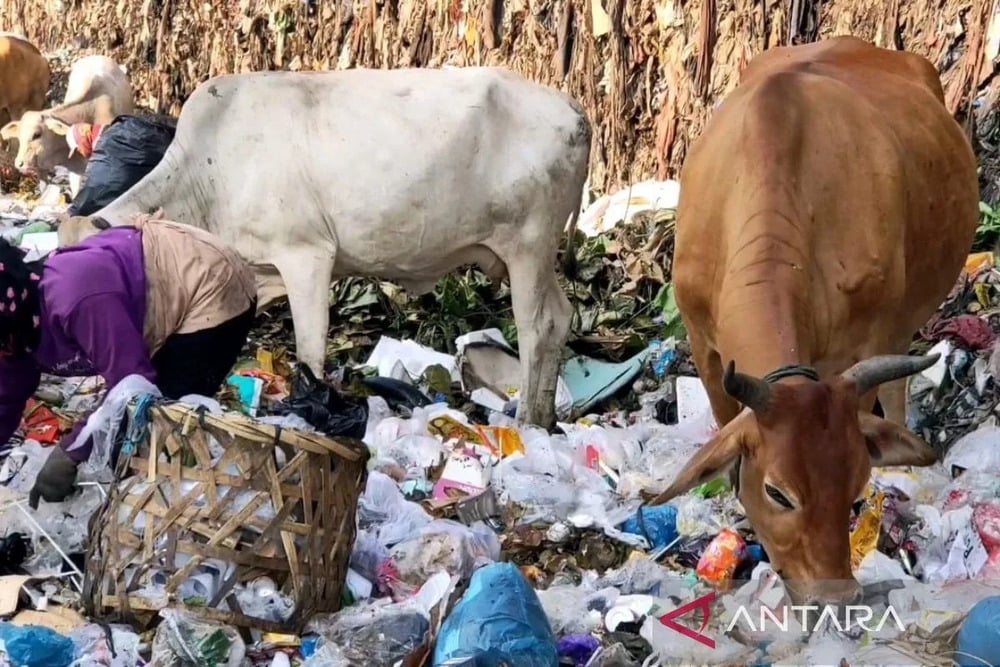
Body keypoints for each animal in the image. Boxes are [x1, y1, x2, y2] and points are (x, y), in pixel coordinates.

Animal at [84, 68, 592, 428]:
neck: (206, 173)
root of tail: (572, 107)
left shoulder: (306, 255)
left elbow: (309, 348)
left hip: (527, 245)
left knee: (537, 326)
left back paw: (526, 420)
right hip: (535, 255)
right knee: (561, 316)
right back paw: (546, 417)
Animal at [648, 39, 976, 608]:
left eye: (856, 484)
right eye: (777, 492)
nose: (837, 595)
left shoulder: (863, 343)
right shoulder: (702, 344)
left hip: (900, 322)